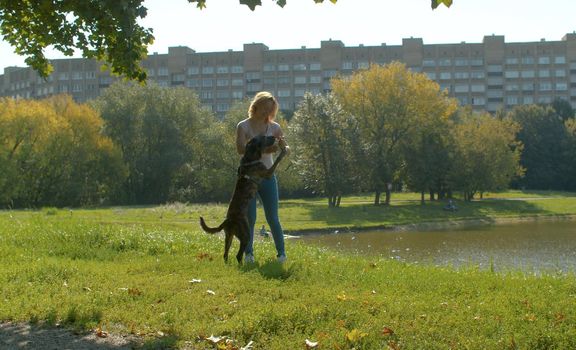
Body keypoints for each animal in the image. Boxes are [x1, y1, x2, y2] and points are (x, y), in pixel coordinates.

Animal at [199, 135, 286, 264]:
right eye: (264, 137)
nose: (274, 136)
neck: (250, 158)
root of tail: (227, 221)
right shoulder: (267, 172)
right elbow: (277, 161)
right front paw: (283, 151)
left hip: (229, 236)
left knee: (225, 254)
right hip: (245, 235)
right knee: (238, 255)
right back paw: (242, 265)